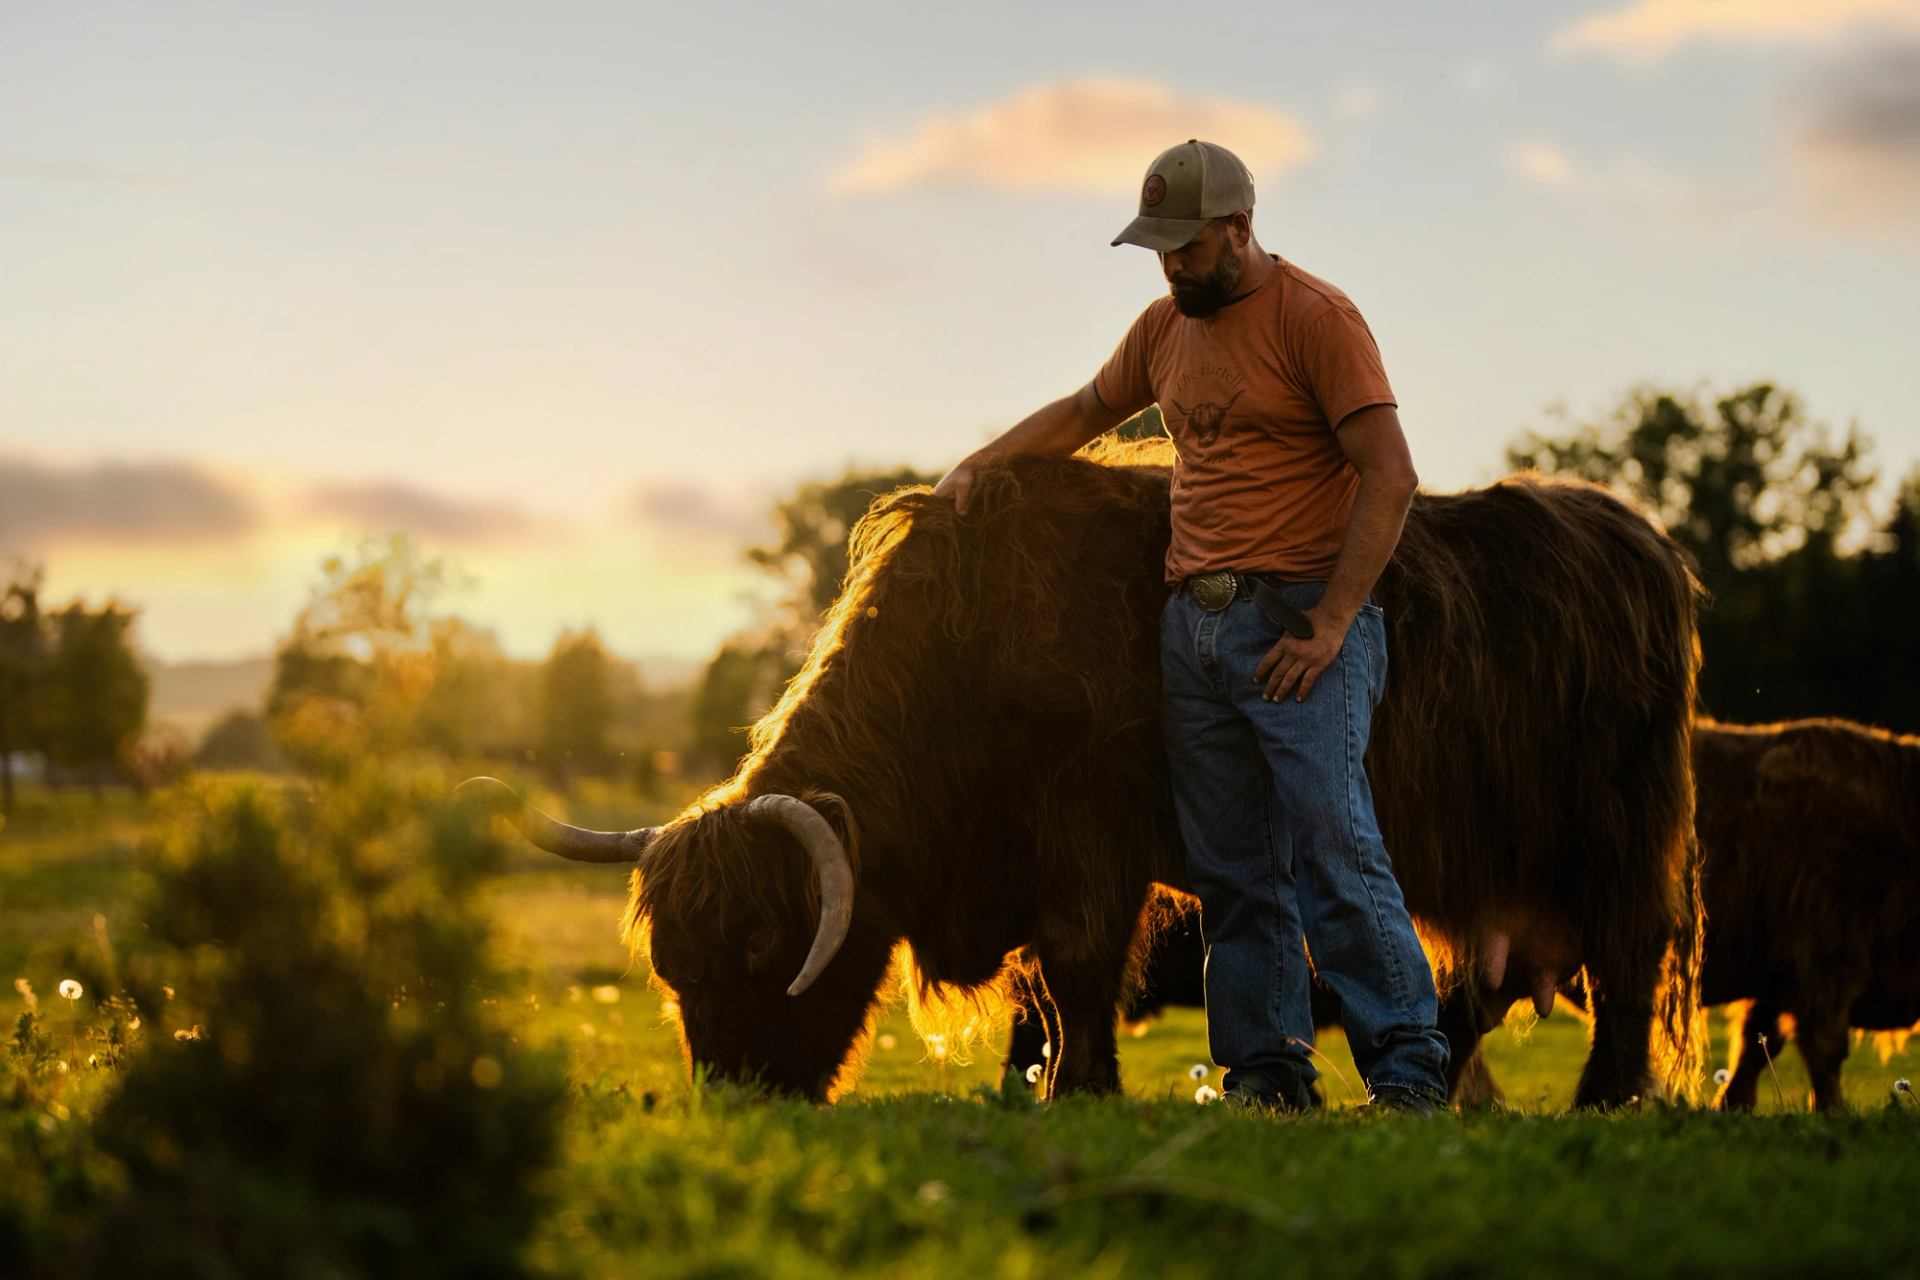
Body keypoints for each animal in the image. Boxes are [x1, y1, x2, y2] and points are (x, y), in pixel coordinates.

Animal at [469, 447, 1704, 1107]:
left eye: (767, 944)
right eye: (672, 967)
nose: (735, 1092)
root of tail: (1635, 535)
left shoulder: (1089, 834)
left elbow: (1075, 965)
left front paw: (1082, 1089)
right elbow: (1047, 989)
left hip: (1619, 828)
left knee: (1629, 952)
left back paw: (1603, 1094)